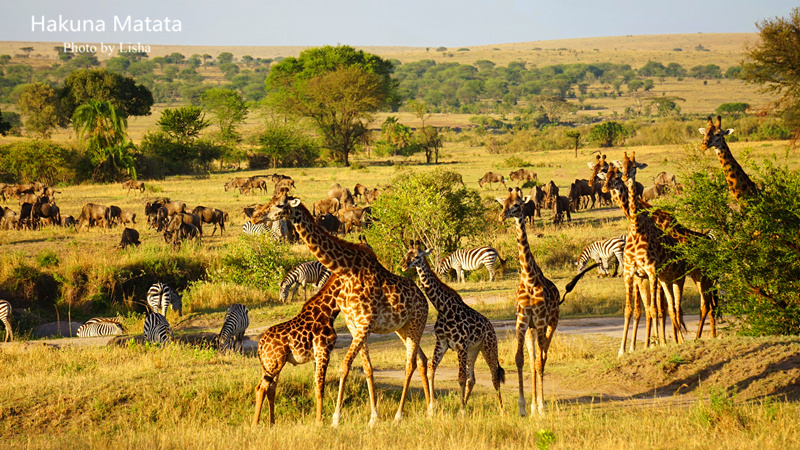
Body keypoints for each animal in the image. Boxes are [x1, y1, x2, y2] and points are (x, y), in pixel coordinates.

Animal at [255, 274, 346, 426]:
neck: (329, 311)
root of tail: (260, 344)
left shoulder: (317, 356)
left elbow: (316, 385)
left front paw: (318, 419)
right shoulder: (324, 352)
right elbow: (320, 386)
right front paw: (319, 421)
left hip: (270, 364)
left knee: (270, 389)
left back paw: (272, 423)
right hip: (273, 364)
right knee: (262, 388)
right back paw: (255, 424)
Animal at [400, 241, 506, 416]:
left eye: (416, 256)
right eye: (406, 255)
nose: (403, 266)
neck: (443, 308)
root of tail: (491, 327)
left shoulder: (460, 345)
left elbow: (460, 378)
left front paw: (461, 411)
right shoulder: (442, 343)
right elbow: (431, 370)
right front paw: (432, 408)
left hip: (489, 347)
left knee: (494, 376)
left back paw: (500, 409)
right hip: (473, 350)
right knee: (472, 378)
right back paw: (465, 404)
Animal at [496, 186, 596, 414]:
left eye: (517, 204)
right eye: (503, 203)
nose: (501, 216)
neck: (529, 278)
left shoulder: (541, 321)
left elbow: (539, 361)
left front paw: (540, 407)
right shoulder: (522, 322)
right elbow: (520, 359)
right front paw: (523, 407)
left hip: (552, 323)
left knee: (542, 357)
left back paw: (539, 406)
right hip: (532, 330)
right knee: (534, 359)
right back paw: (533, 405)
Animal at [600, 155, 688, 356]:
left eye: (616, 176)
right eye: (604, 176)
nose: (605, 189)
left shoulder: (651, 272)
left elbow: (654, 308)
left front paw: (656, 343)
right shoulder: (638, 275)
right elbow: (641, 309)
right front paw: (638, 346)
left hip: (676, 276)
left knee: (676, 306)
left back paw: (678, 339)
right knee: (669, 306)